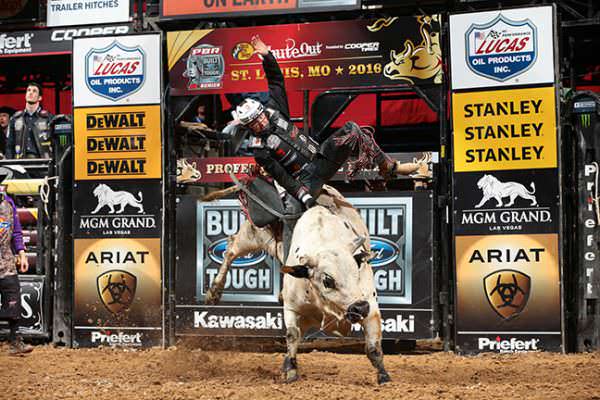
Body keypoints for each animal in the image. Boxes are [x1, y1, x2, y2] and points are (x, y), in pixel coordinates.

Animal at [206, 184, 392, 384]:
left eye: (356, 270)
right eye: (327, 280)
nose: (359, 308)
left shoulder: (370, 305)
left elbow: (373, 346)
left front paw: (383, 375)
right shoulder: (293, 308)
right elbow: (292, 335)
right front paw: (290, 370)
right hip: (253, 234)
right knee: (231, 249)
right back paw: (214, 292)